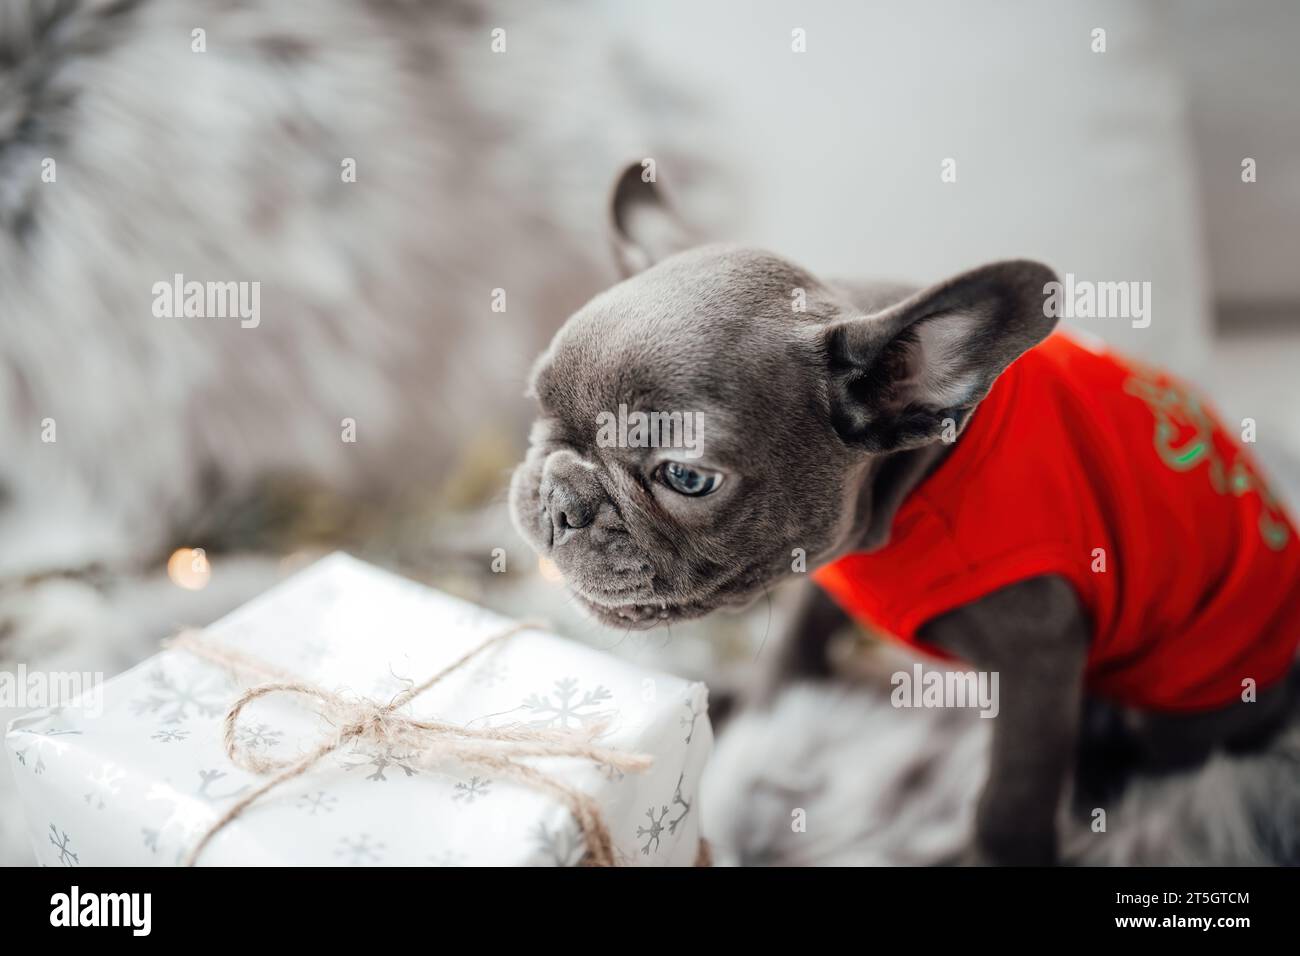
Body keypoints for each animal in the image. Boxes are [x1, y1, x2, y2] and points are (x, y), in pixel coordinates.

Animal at [509, 164, 1300, 868]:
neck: (904, 504)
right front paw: (760, 716)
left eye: (687, 477)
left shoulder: (1040, 654)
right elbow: (792, 656)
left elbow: (1010, 798)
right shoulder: (826, 583)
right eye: (536, 408)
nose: (561, 499)